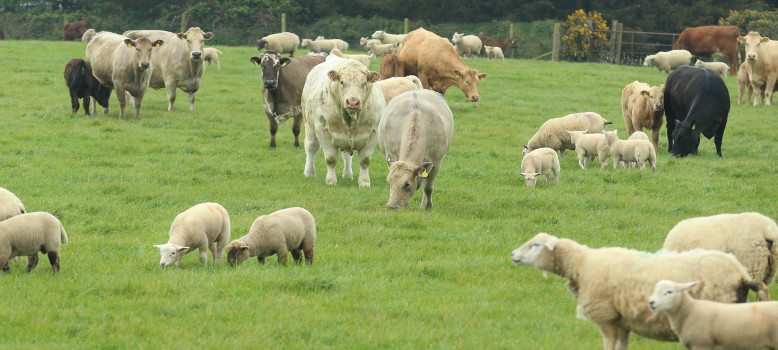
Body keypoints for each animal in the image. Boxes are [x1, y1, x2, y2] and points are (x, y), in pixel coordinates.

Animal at [300, 55, 384, 187]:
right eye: (342, 82)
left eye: (364, 83)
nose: (353, 102)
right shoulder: (323, 131)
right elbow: (330, 159)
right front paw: (330, 180)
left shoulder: (373, 132)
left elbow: (365, 160)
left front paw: (364, 182)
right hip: (309, 125)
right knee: (311, 147)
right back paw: (309, 172)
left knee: (347, 155)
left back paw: (348, 174)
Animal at [512, 232, 760, 350]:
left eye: (535, 245)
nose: (513, 254)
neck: (582, 265)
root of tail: (741, 273)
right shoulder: (622, 321)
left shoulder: (607, 318)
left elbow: (608, 346)